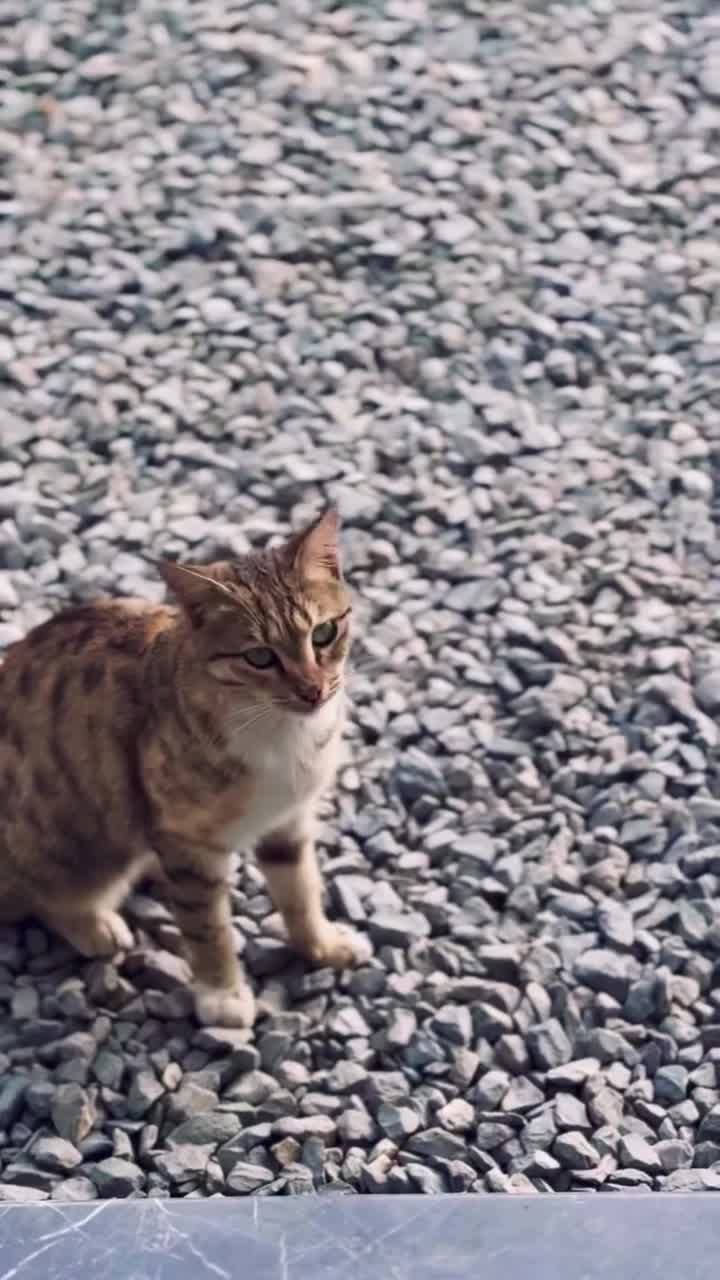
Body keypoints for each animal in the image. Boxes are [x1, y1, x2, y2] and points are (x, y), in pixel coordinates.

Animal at [0, 508, 369, 1027]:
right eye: (260, 656)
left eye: (324, 634)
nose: (313, 691)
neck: (281, 735)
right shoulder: (187, 840)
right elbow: (207, 926)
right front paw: (222, 996)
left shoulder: (289, 821)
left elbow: (301, 890)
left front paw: (322, 945)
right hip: (65, 840)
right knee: (42, 890)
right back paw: (96, 926)